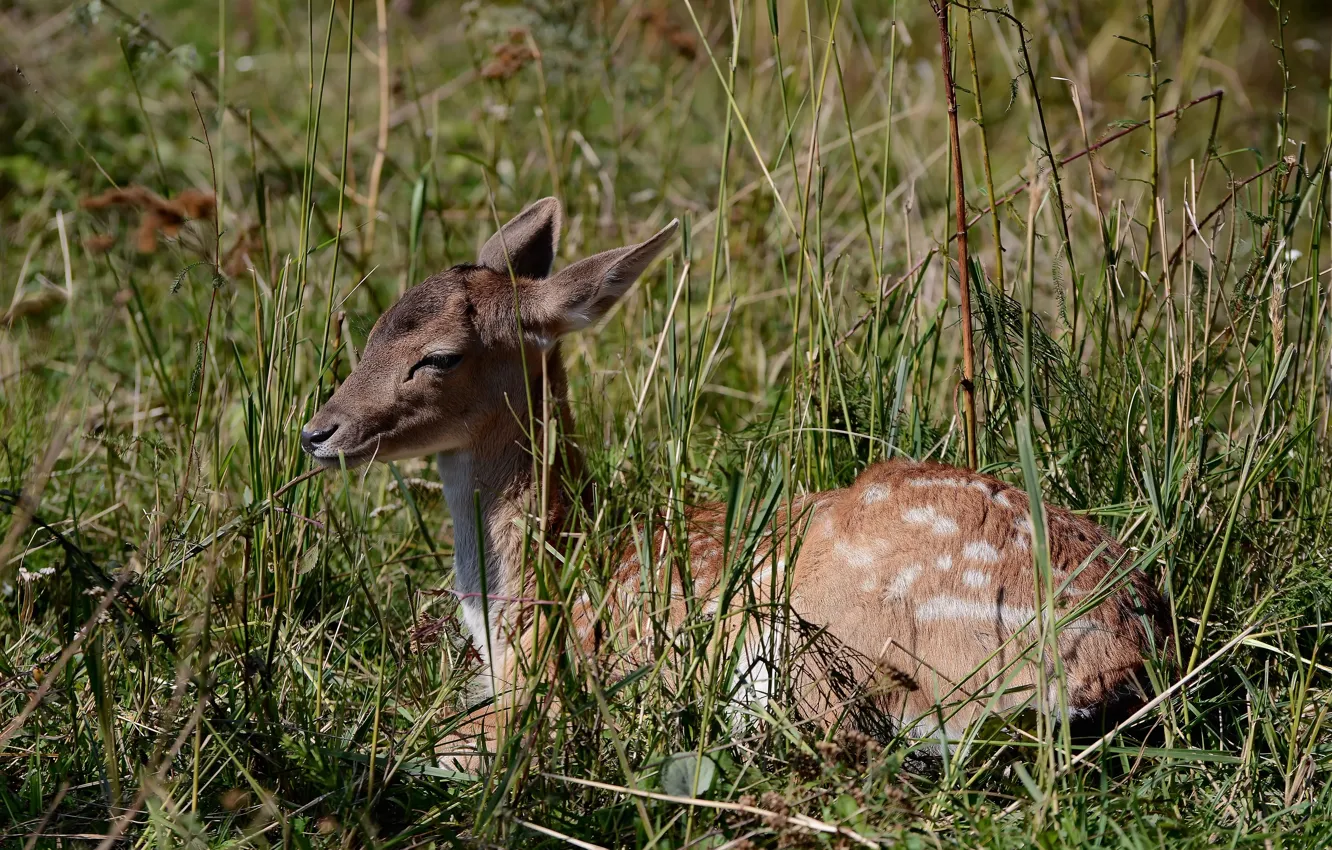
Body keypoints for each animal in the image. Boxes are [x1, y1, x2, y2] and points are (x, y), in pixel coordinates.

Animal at [300, 198, 1165, 771]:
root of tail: (1122, 657)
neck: (531, 604)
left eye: (439, 356)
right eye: (373, 328)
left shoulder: (552, 688)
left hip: (831, 641)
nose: (317, 432)